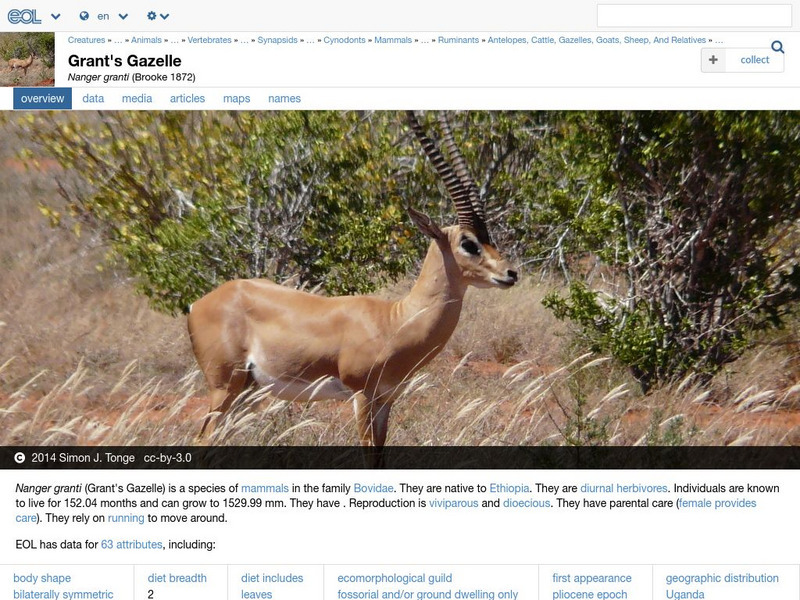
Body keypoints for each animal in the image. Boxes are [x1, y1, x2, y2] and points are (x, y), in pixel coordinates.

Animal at [187, 111, 517, 457]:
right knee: (202, 439)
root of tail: (199, 303)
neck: (394, 321)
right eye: (468, 243)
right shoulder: (362, 396)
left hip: (246, 391)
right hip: (224, 387)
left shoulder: (386, 400)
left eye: (489, 237)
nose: (510, 273)